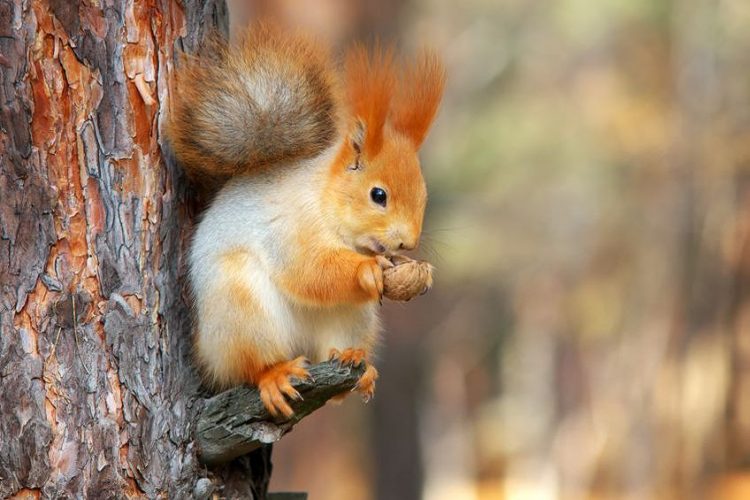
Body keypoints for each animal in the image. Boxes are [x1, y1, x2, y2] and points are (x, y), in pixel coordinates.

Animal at [166, 23, 445, 417]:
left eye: (423, 194)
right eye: (378, 195)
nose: (409, 242)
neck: (325, 200)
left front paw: (418, 270)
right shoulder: (289, 227)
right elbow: (308, 269)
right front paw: (367, 269)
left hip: (352, 318)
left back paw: (357, 365)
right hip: (241, 309)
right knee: (250, 364)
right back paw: (275, 375)